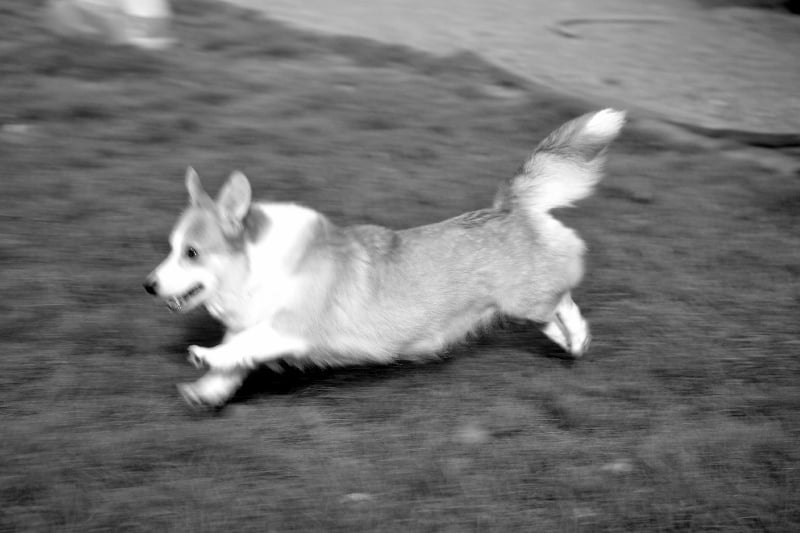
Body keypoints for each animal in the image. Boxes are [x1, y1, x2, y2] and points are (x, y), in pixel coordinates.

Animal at [144, 109, 625, 407]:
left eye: (191, 253)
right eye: (171, 247)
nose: (148, 285)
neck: (258, 264)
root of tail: (509, 207)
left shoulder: (290, 329)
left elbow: (243, 346)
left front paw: (204, 357)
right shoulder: (260, 328)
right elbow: (235, 363)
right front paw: (205, 391)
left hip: (527, 298)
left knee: (563, 299)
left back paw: (577, 336)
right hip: (522, 304)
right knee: (556, 312)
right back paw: (573, 342)